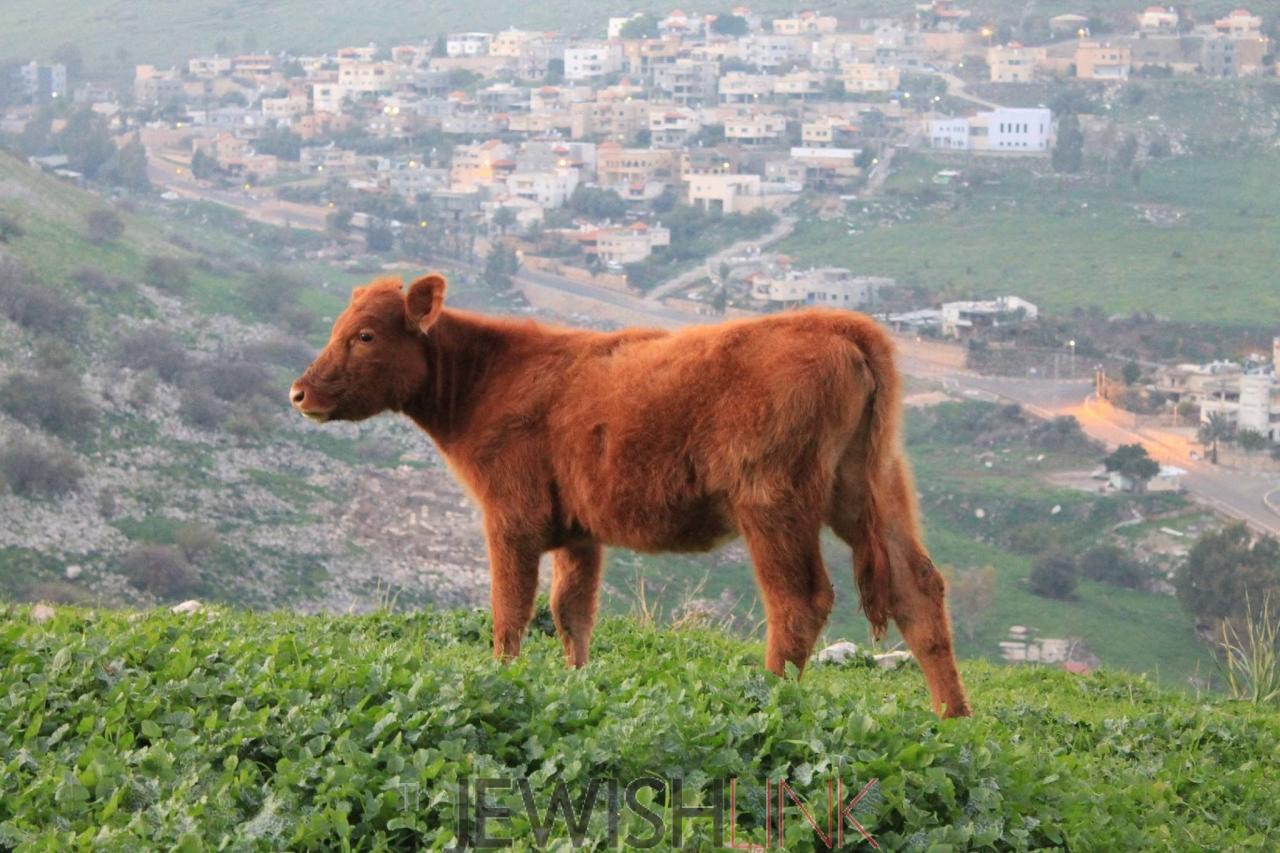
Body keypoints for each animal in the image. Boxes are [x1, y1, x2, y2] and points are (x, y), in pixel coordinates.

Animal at [290, 275, 967, 712]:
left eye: (365, 336)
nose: (299, 392)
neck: (487, 381)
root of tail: (837, 323)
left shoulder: (509, 515)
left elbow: (510, 612)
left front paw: (501, 683)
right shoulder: (577, 530)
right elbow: (571, 612)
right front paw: (577, 685)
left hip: (774, 497)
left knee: (800, 600)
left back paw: (767, 700)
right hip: (873, 485)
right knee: (917, 588)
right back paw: (951, 718)